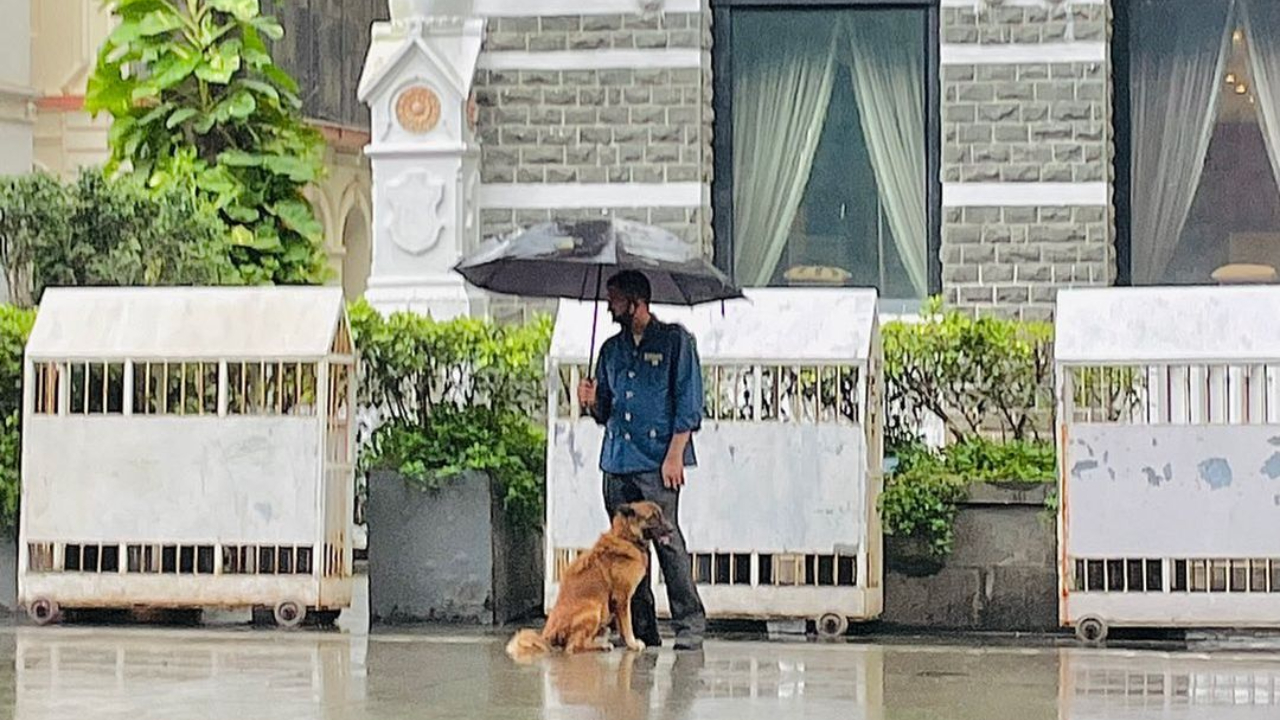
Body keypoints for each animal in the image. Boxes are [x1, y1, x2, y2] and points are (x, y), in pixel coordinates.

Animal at [504, 502, 675, 661]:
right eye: (653, 517)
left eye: (660, 514)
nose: (672, 529)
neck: (625, 537)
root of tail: (547, 636)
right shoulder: (622, 598)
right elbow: (627, 625)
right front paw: (632, 644)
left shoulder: (619, 603)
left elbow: (622, 626)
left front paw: (627, 643)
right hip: (594, 609)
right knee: (573, 647)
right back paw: (601, 646)